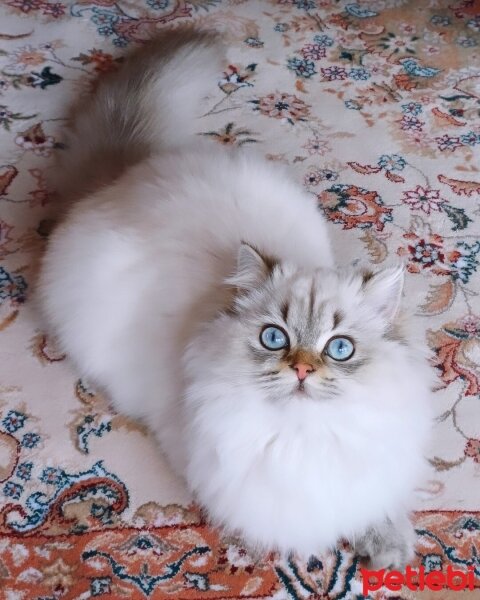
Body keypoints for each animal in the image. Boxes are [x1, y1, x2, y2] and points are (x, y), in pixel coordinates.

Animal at [37, 29, 434, 568]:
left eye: (339, 348)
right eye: (274, 338)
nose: (302, 369)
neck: (306, 441)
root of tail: (130, 172)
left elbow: (375, 507)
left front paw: (388, 551)